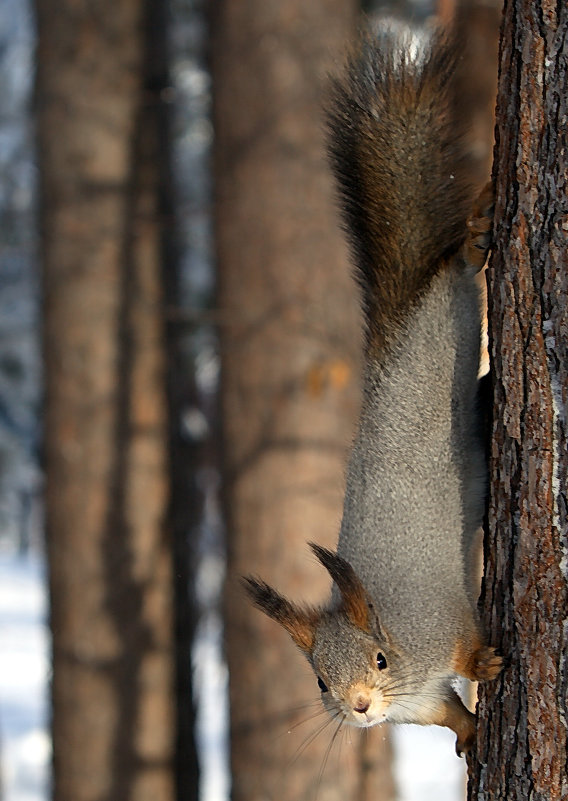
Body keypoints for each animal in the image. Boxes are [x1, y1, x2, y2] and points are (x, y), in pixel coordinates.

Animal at [242, 26, 500, 756]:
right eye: (319, 680)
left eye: (380, 659)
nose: (358, 707)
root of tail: (396, 331)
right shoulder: (421, 705)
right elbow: (448, 711)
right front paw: (469, 732)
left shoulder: (441, 622)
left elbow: (465, 647)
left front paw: (487, 663)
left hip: (447, 323)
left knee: (452, 272)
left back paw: (475, 236)